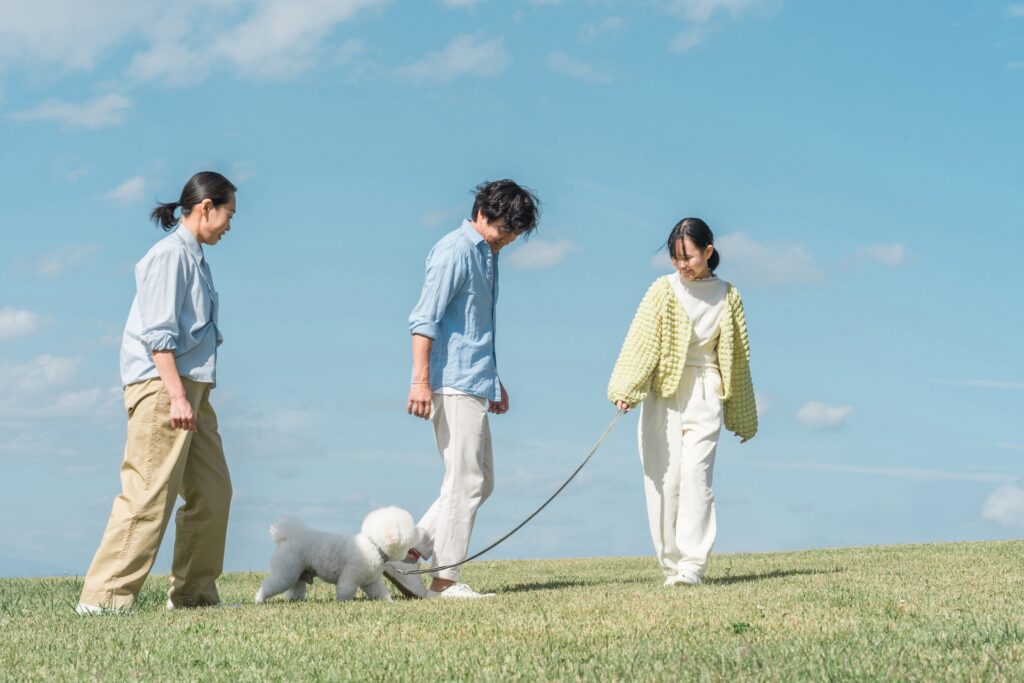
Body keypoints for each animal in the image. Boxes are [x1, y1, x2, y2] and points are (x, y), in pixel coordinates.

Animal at [253, 507, 417, 602]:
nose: (418, 532)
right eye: (409, 529)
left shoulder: (370, 581)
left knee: (295, 589)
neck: (373, 544)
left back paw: (296, 600)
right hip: (286, 572)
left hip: (297, 573)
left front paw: (389, 602)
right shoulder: (350, 576)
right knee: (269, 584)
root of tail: (286, 537)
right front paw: (344, 602)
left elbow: (380, 591)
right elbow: (345, 590)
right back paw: (259, 598)